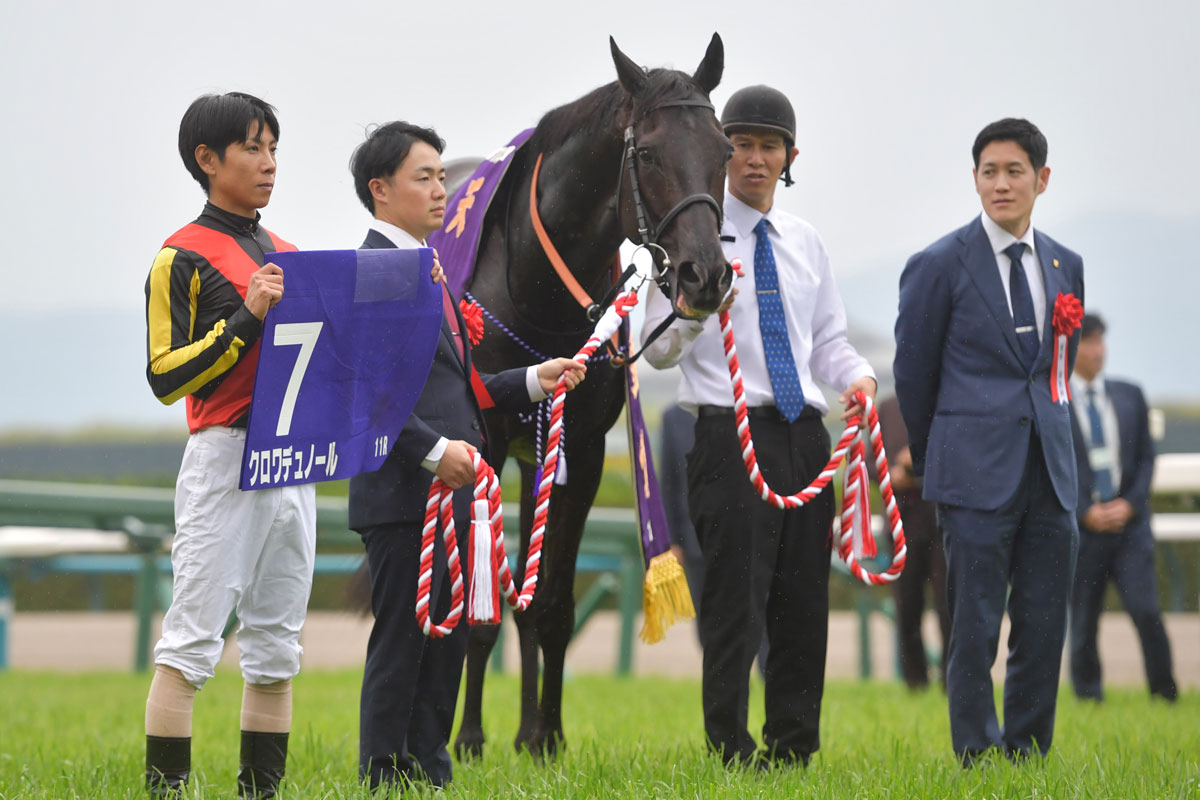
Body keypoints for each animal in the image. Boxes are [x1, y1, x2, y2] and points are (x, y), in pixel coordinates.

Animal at [444, 33, 734, 759]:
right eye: (649, 152)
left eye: (724, 149)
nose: (706, 275)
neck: (532, 283)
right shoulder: (481, 443)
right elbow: (480, 605)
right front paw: (468, 739)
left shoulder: (582, 449)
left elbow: (550, 603)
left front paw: (545, 736)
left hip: (536, 459)